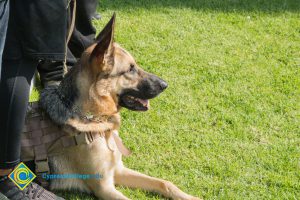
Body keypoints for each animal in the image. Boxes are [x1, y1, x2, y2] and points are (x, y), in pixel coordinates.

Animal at [39, 14, 199, 200]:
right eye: (130, 70)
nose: (165, 85)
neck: (95, 120)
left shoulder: (118, 170)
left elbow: (164, 183)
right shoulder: (104, 188)